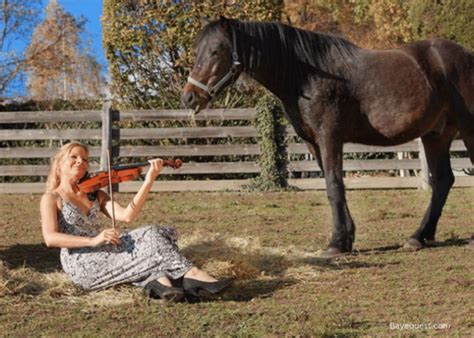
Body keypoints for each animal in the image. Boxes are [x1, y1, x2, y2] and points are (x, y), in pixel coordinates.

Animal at [181, 15, 474, 254]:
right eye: (197, 51)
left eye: (216, 51)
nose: (189, 96)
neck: (306, 75)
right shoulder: (313, 142)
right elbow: (331, 185)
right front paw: (346, 239)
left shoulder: (329, 137)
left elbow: (334, 185)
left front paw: (337, 243)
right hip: (436, 135)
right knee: (443, 181)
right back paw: (418, 237)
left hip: (466, 129)